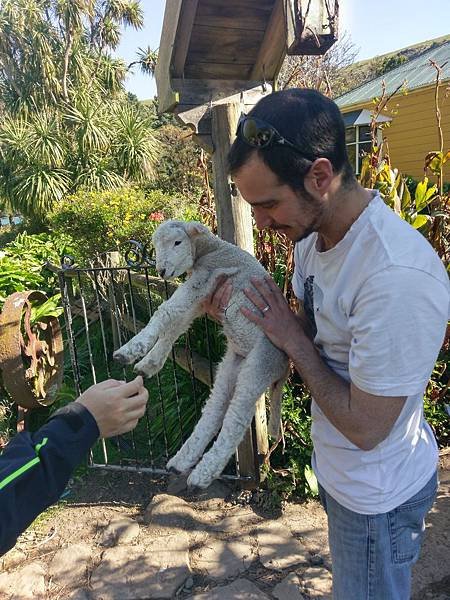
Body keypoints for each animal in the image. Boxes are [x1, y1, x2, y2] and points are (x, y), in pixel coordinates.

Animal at [112, 218, 288, 490]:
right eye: (156, 245)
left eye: (177, 242)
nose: (161, 271)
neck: (211, 249)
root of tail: (286, 365)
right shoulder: (202, 298)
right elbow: (174, 325)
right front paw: (150, 362)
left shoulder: (206, 278)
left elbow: (165, 313)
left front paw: (131, 349)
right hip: (232, 366)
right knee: (213, 413)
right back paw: (181, 462)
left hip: (259, 364)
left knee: (235, 421)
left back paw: (203, 474)